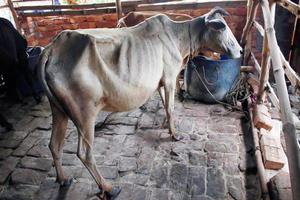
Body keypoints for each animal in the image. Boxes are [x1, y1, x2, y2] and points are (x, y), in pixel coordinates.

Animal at [39, 7, 241, 199]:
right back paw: (108, 189)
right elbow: (171, 106)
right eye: (222, 27)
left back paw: (63, 179)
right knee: (84, 153)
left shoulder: (160, 82)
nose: (240, 50)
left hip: (59, 110)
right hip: (85, 114)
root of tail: (53, 47)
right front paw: (175, 134)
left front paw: (167, 126)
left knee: (54, 145)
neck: (179, 37)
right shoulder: (169, 78)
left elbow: (166, 106)